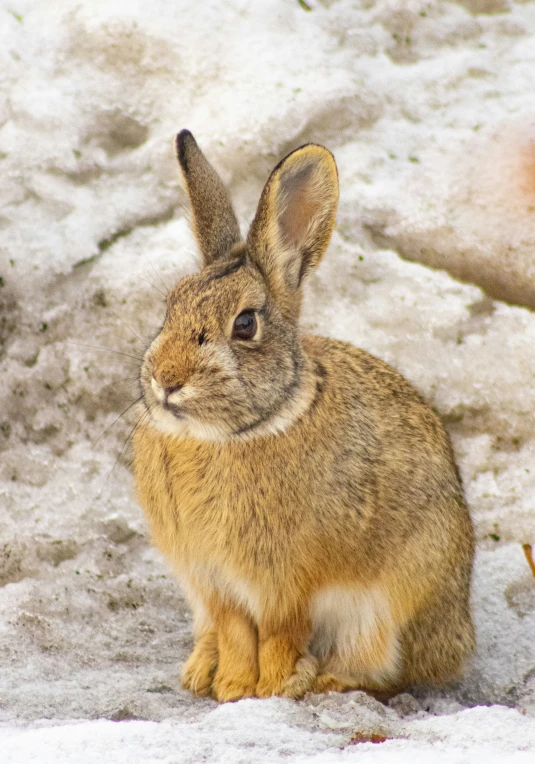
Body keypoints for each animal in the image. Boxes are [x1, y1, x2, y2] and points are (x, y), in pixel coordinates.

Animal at [132, 131, 476, 704]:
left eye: (245, 324)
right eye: (169, 308)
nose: (167, 380)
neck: (230, 434)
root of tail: (459, 638)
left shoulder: (285, 583)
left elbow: (278, 634)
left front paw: (267, 689)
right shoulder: (214, 583)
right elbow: (235, 631)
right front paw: (232, 688)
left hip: (386, 608)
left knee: (384, 669)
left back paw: (321, 679)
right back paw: (202, 671)